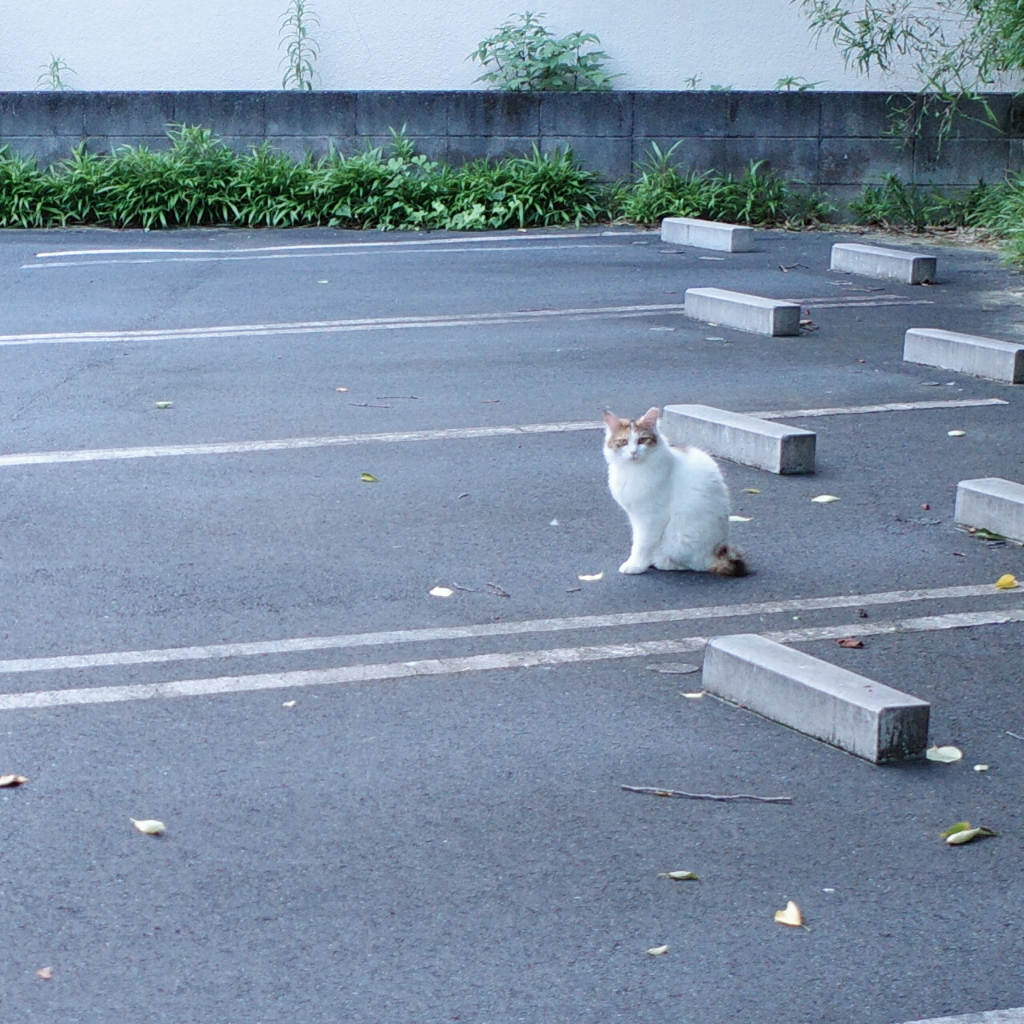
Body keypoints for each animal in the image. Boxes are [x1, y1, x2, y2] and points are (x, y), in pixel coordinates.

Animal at [602, 403, 749, 577]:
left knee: (692, 565)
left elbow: (641, 543)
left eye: (642, 440)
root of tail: (714, 553)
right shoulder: (635, 515)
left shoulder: (651, 516)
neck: (632, 470)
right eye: (623, 442)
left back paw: (662, 562)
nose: (633, 452)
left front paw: (636, 565)